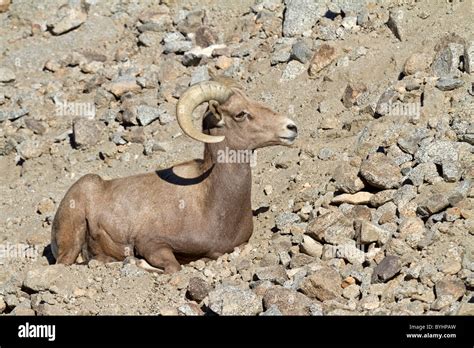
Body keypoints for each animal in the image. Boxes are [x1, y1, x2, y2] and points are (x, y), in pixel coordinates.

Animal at [51, 80, 296, 274]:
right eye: (241, 114)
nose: (291, 127)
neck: (210, 203)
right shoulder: (151, 244)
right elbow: (173, 266)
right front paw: (136, 263)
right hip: (72, 238)